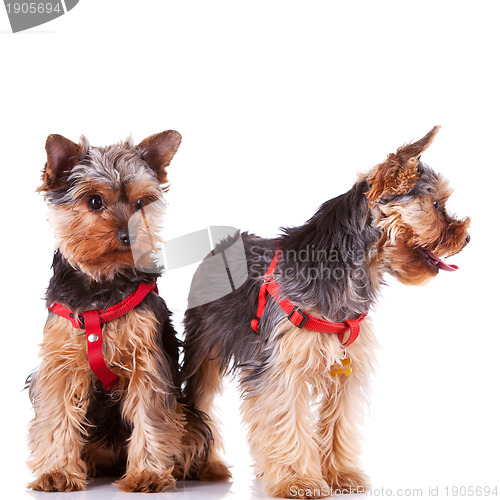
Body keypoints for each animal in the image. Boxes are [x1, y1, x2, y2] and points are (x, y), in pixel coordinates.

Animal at [25, 132, 225, 492]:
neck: (102, 285)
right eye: (94, 202)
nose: (128, 235)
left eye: (140, 203)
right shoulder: (60, 362)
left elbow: (150, 413)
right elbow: (56, 414)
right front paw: (57, 472)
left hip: (189, 416)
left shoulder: (146, 359)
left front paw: (147, 474)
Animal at [182, 127, 470, 498]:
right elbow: (285, 418)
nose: (467, 237)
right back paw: (208, 464)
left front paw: (338, 474)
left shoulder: (348, 366)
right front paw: (298, 480)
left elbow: (337, 422)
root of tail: (218, 247)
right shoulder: (280, 367)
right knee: (201, 399)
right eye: (436, 205)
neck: (350, 269)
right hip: (202, 344)